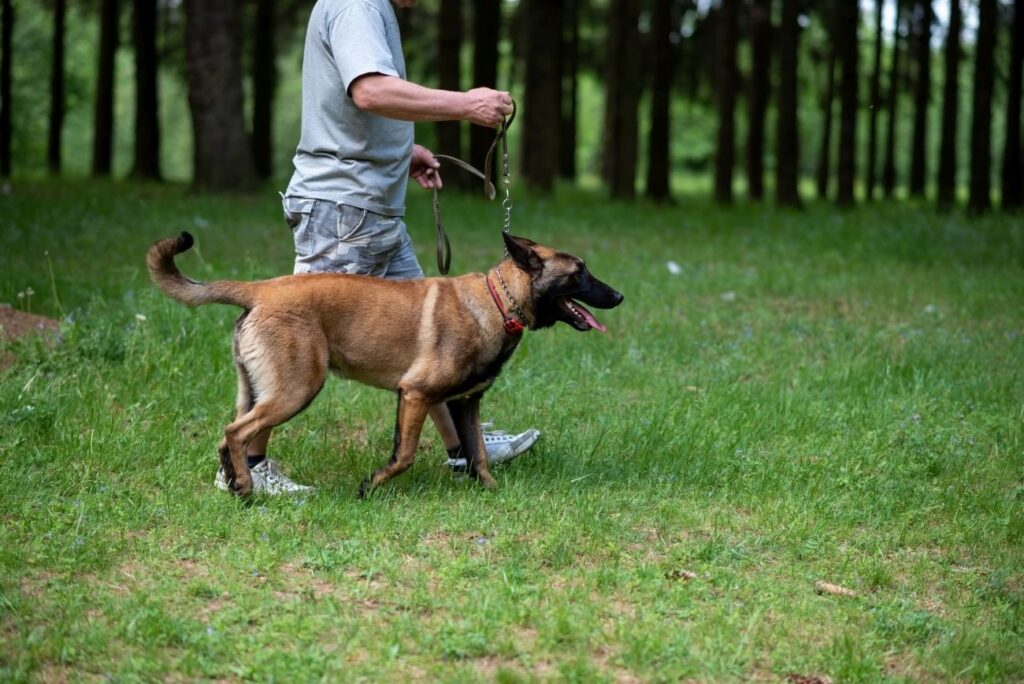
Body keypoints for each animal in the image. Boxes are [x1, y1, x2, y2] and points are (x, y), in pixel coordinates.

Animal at [145, 231, 622, 497]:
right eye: (579, 272)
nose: (618, 296)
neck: (496, 301)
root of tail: (259, 290)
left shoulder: (463, 402)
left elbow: (479, 454)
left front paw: (492, 492)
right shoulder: (415, 394)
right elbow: (405, 455)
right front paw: (370, 486)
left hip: (257, 389)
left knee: (228, 437)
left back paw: (236, 485)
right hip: (295, 389)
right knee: (236, 433)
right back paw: (245, 487)